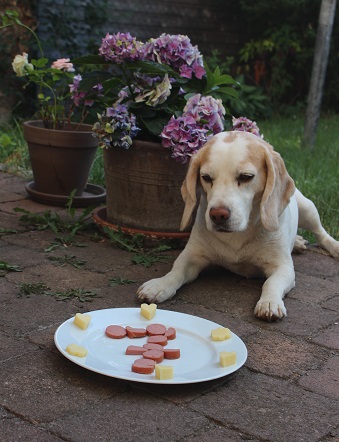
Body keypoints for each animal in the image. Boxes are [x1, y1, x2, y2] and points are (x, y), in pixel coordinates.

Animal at [137, 131, 338, 322]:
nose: (218, 215)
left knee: (320, 232)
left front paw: (269, 302)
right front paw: (160, 284)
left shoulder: (283, 267)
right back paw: (297, 242)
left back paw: (333, 245)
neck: (238, 234)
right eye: (206, 177)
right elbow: (176, 270)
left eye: (246, 177)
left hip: (308, 209)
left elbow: (271, 283)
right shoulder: (192, 256)